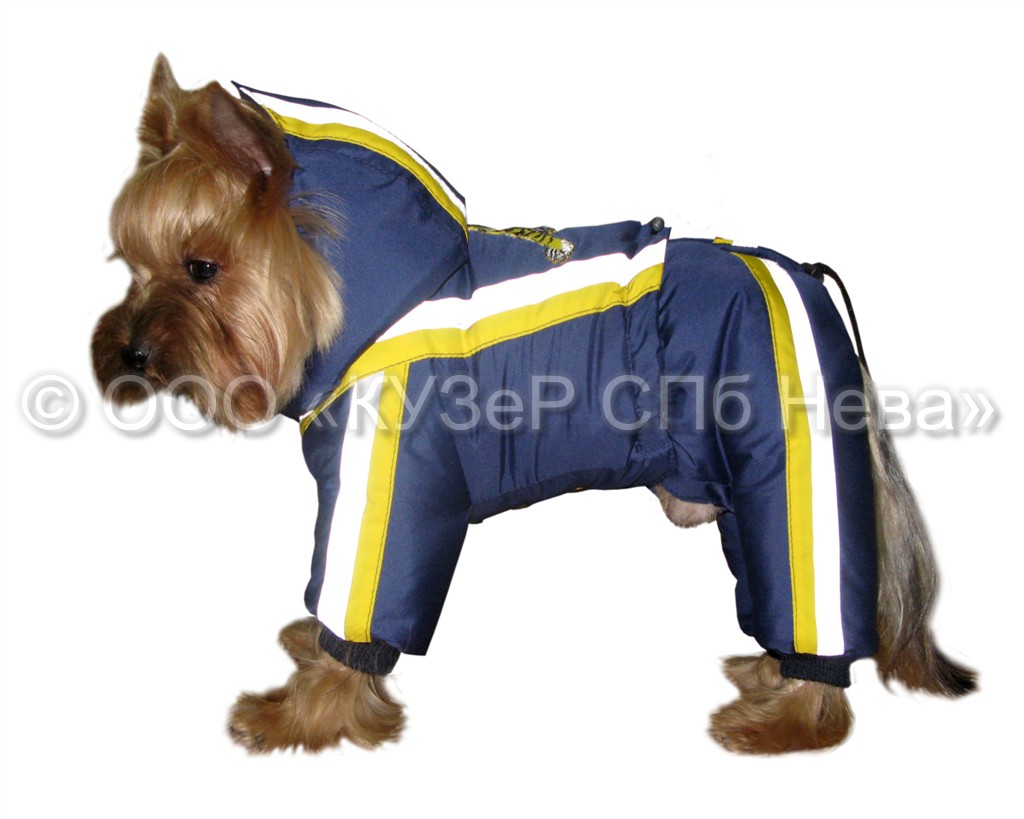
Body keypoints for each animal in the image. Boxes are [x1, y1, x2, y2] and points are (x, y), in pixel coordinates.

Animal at [92, 55, 976, 755]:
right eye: (130, 264)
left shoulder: (391, 484)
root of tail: (799, 273)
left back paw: (785, 715)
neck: (348, 297)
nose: (127, 354)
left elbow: (359, 604)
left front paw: (300, 713)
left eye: (202, 267)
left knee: (813, 589)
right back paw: (765, 665)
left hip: (790, 457)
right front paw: (307, 652)